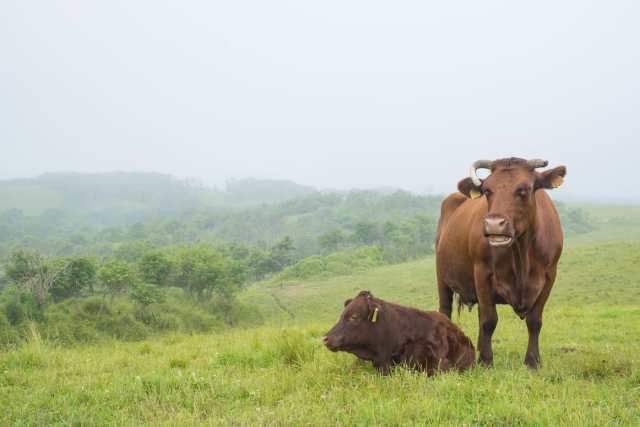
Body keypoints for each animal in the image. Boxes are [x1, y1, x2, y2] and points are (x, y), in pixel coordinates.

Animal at [436, 157, 564, 368]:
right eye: (487, 190)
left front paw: (532, 361)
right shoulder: (482, 273)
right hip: (442, 278)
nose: (494, 224)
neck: (521, 254)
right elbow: (489, 321)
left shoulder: (549, 276)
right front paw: (486, 361)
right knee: (445, 311)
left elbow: (534, 321)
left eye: (524, 189)